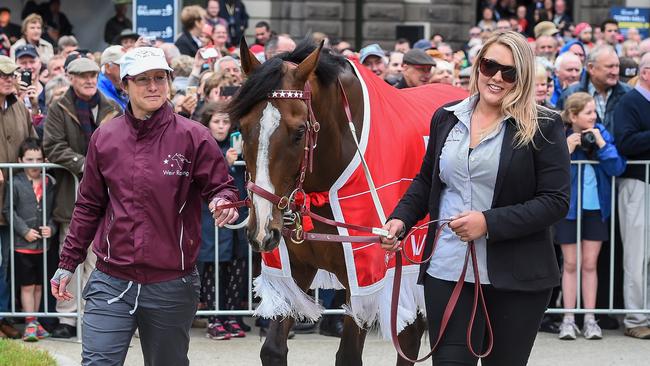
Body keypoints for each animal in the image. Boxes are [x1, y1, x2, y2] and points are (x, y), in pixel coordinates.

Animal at [228, 40, 456, 366]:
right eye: (243, 127)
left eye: (299, 132)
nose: (262, 230)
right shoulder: (294, 270)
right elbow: (272, 349)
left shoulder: (364, 281)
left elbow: (348, 354)